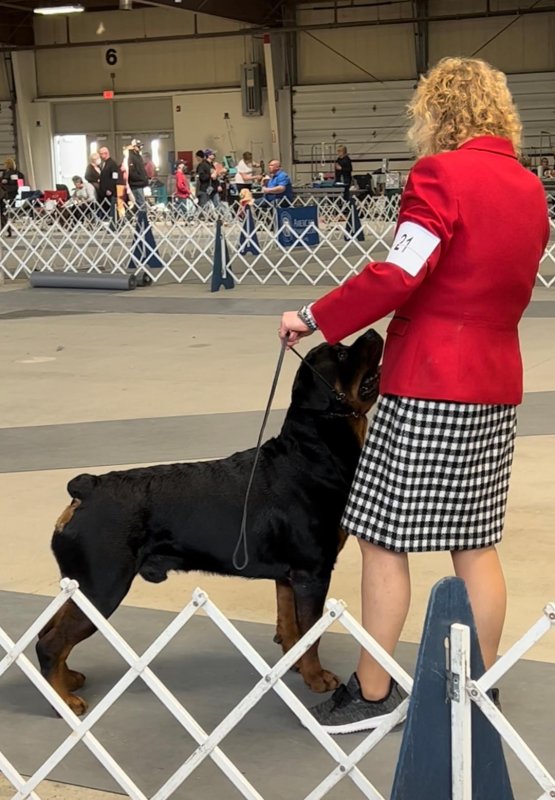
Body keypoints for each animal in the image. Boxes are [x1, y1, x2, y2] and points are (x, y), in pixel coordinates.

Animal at [36, 329, 384, 715]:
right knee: (51, 643)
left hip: (81, 586)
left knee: (48, 632)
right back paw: (65, 700)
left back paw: (67, 681)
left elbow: (291, 627)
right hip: (101, 587)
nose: (373, 331)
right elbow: (311, 632)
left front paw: (292, 665)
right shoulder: (312, 573)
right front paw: (316, 678)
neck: (313, 453)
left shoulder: (288, 577)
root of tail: (86, 486)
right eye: (342, 354)